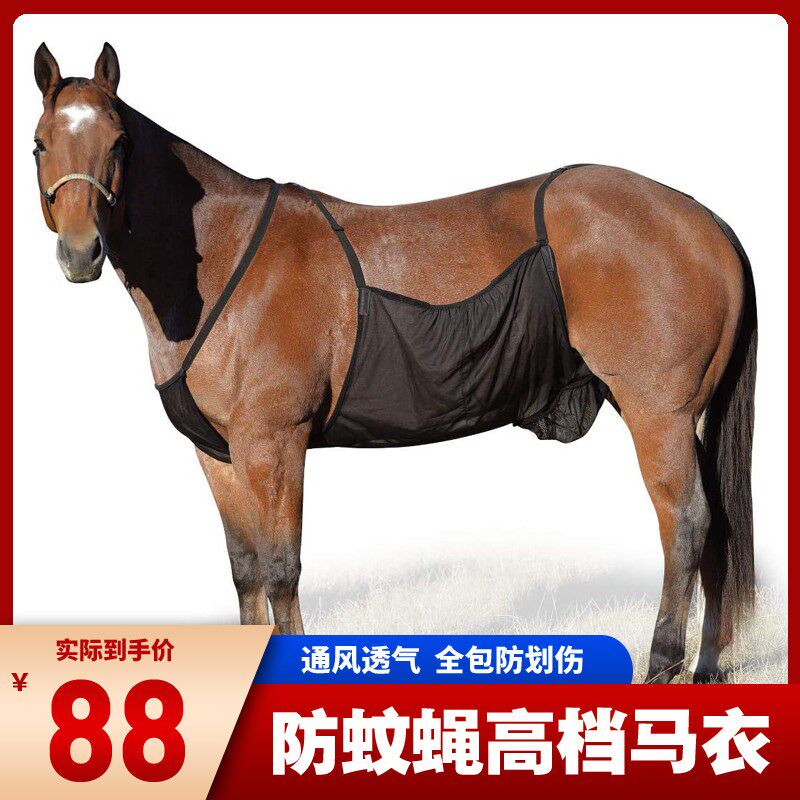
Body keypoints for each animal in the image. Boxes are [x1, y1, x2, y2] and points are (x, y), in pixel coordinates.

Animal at [31, 42, 756, 683]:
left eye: (118, 143)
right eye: (40, 144)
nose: (81, 253)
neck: (222, 262)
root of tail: (706, 221)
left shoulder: (274, 443)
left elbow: (281, 570)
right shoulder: (218, 452)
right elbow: (244, 571)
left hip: (659, 414)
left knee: (686, 523)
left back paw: (663, 664)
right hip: (689, 418)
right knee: (717, 524)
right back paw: (708, 667)